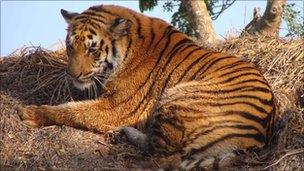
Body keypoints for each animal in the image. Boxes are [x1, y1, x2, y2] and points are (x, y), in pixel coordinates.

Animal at [19, 4, 276, 170]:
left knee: (165, 157)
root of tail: (257, 139)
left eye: (92, 49)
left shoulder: (117, 108)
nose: (72, 75)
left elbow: (73, 109)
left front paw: (30, 113)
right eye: (70, 46)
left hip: (179, 96)